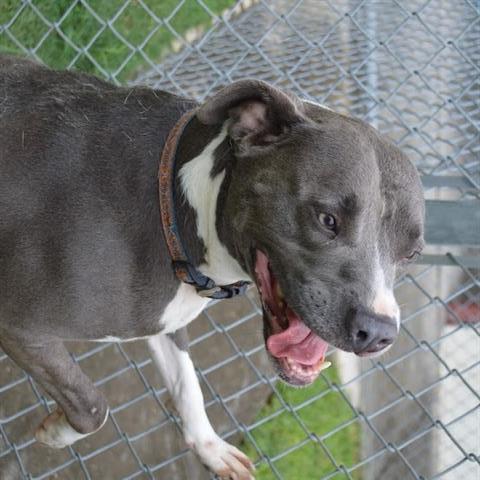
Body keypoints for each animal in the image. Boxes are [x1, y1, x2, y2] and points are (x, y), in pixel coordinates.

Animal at [0, 54, 424, 478]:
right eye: (327, 219)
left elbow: (187, 386)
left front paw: (210, 447)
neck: (174, 201)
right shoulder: (21, 327)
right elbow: (91, 406)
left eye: (412, 254)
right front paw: (56, 432)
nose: (378, 332)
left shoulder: (167, 320)